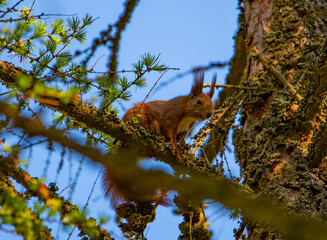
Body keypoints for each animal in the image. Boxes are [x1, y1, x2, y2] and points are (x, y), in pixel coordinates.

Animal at [104, 71, 217, 206]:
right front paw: (176, 148)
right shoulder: (172, 115)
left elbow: (181, 137)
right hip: (139, 114)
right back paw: (150, 127)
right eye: (199, 101)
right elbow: (169, 132)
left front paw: (184, 145)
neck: (188, 116)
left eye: (212, 104)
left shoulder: (186, 128)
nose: (209, 113)